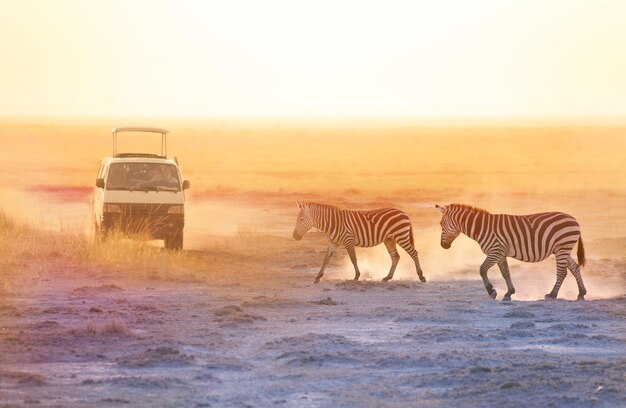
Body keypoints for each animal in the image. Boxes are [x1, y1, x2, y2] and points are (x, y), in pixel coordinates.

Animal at [292, 202, 424, 284]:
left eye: (301, 220)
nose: (295, 236)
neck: (332, 223)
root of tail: (403, 212)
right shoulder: (332, 243)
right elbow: (325, 259)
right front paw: (317, 277)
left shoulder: (348, 240)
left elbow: (353, 259)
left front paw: (356, 276)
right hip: (389, 239)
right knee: (395, 256)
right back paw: (387, 277)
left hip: (401, 236)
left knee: (414, 253)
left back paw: (421, 276)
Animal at [434, 203, 584, 302]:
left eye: (441, 224)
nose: (443, 246)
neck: (481, 228)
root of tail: (574, 219)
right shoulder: (501, 254)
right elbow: (505, 273)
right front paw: (509, 293)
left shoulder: (495, 251)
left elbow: (482, 269)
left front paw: (492, 291)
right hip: (563, 249)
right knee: (575, 268)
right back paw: (581, 293)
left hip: (562, 247)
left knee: (562, 272)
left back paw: (552, 295)